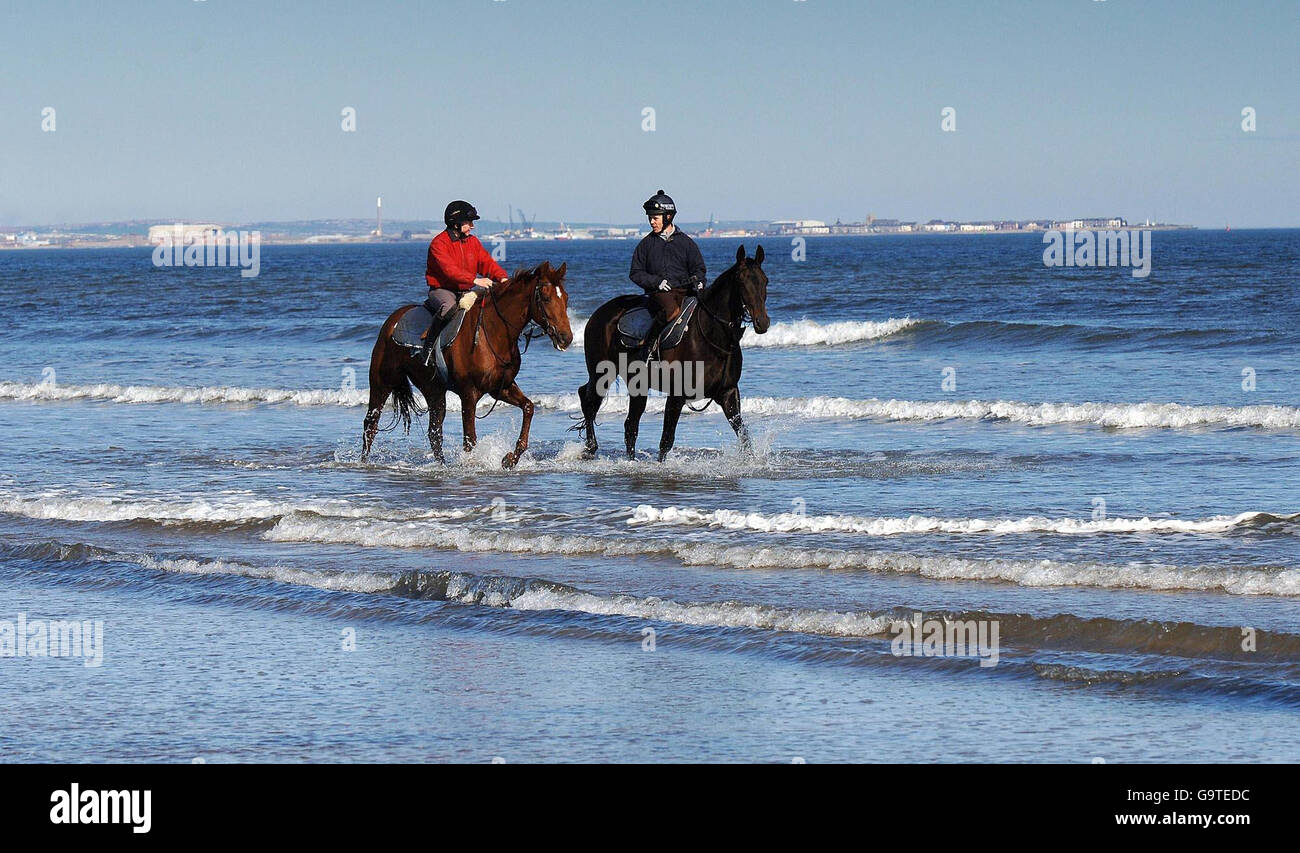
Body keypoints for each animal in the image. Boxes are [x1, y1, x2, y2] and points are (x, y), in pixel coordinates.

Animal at [364, 262, 572, 470]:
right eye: (546, 298)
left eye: (566, 297)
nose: (566, 338)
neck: (492, 333)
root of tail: (393, 321)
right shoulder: (468, 394)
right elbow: (470, 439)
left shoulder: (501, 388)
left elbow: (528, 407)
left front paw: (510, 459)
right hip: (382, 383)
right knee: (371, 424)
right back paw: (364, 461)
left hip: (434, 391)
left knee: (434, 433)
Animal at [574, 243, 764, 462]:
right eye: (741, 281)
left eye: (765, 281)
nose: (762, 322)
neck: (713, 337)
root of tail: (598, 314)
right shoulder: (677, 396)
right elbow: (666, 440)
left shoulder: (728, 392)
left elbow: (743, 435)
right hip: (602, 373)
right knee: (589, 402)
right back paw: (591, 447)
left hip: (637, 385)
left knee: (629, 424)